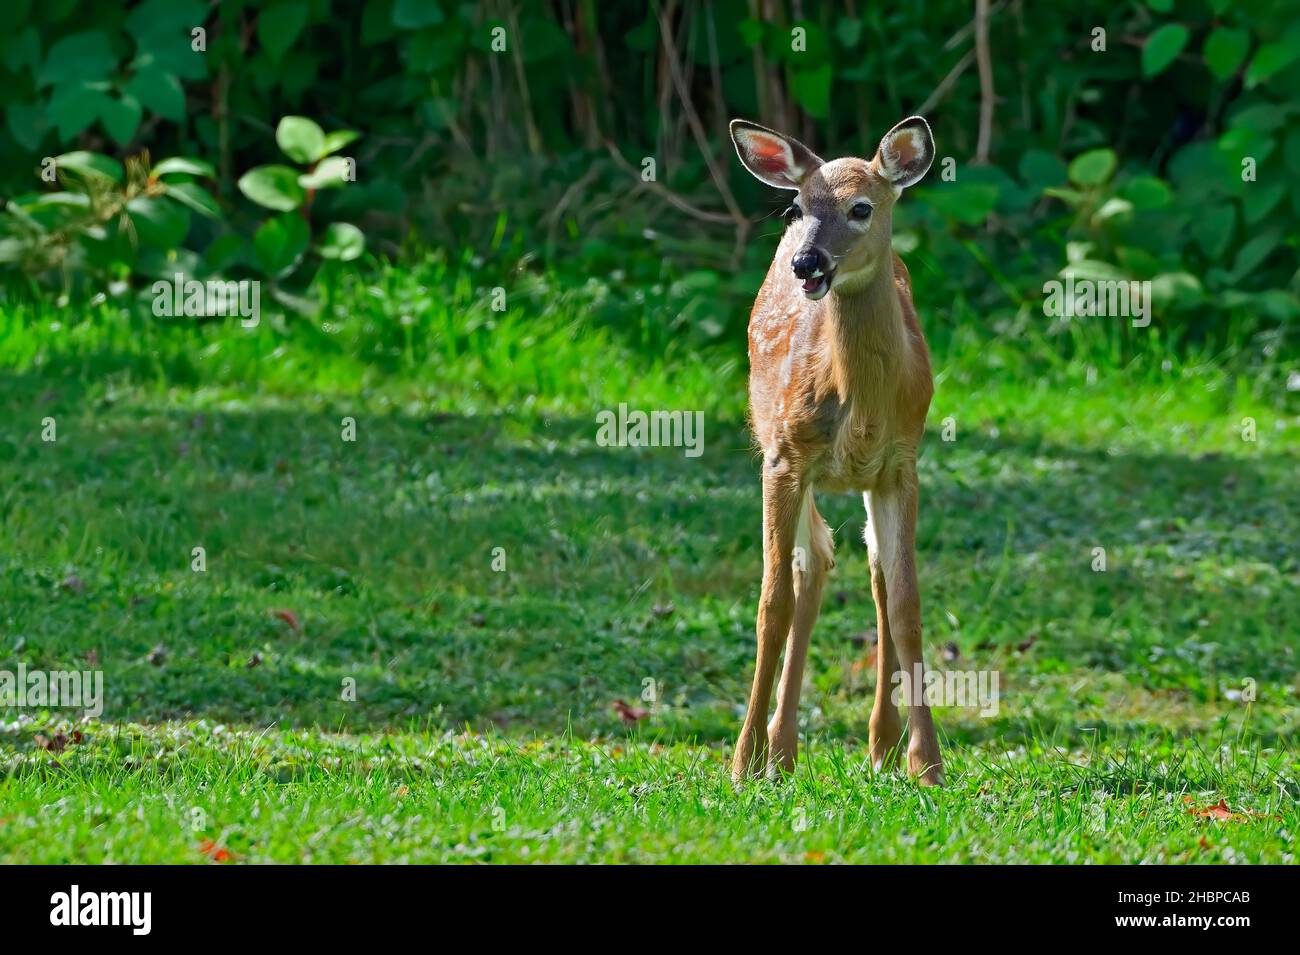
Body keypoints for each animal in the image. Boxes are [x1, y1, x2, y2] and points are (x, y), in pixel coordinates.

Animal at [728, 113, 941, 784]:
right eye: (798, 206)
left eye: (861, 208)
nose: (807, 263)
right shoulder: (784, 455)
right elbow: (771, 604)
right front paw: (742, 762)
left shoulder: (901, 463)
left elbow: (905, 603)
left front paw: (927, 764)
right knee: (811, 564)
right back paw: (779, 748)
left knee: (867, 573)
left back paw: (878, 744)